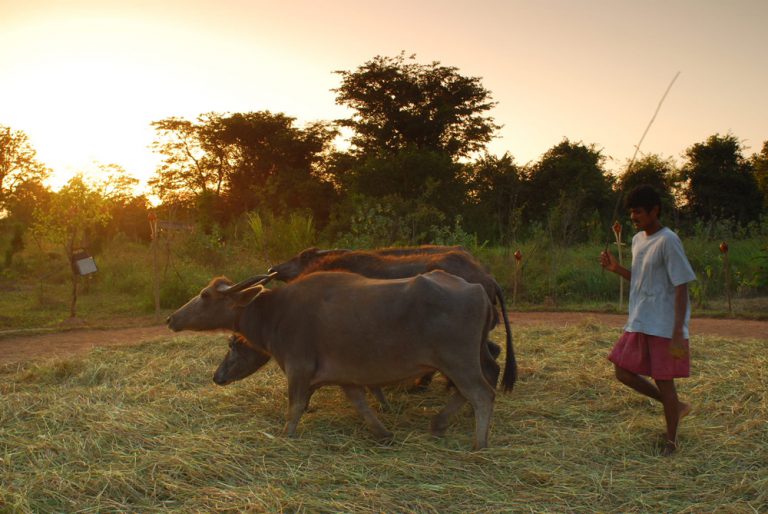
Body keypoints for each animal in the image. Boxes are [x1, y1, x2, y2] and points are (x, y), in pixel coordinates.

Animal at [166, 270, 510, 446]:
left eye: (205, 295)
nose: (171, 318)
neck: (276, 312)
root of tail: (478, 289)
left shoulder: (299, 368)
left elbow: (295, 407)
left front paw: (285, 435)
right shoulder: (347, 377)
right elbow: (361, 404)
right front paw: (382, 433)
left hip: (459, 361)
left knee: (482, 393)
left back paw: (479, 443)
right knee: (481, 383)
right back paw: (439, 423)